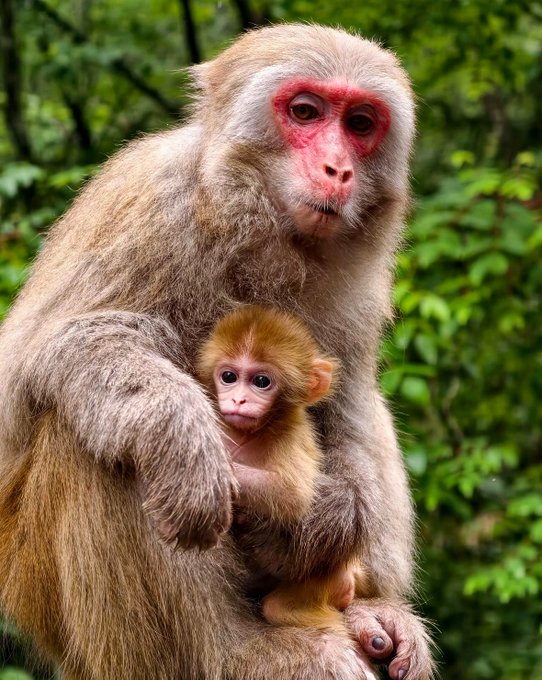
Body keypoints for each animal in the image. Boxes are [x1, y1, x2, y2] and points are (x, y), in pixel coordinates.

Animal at [0, 23, 434, 680]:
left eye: (360, 122)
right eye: (305, 112)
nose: (337, 169)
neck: (255, 221)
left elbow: (346, 400)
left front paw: (329, 513)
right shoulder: (149, 206)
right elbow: (39, 360)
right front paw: (180, 435)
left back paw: (366, 609)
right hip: (41, 591)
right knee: (93, 442)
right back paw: (235, 650)